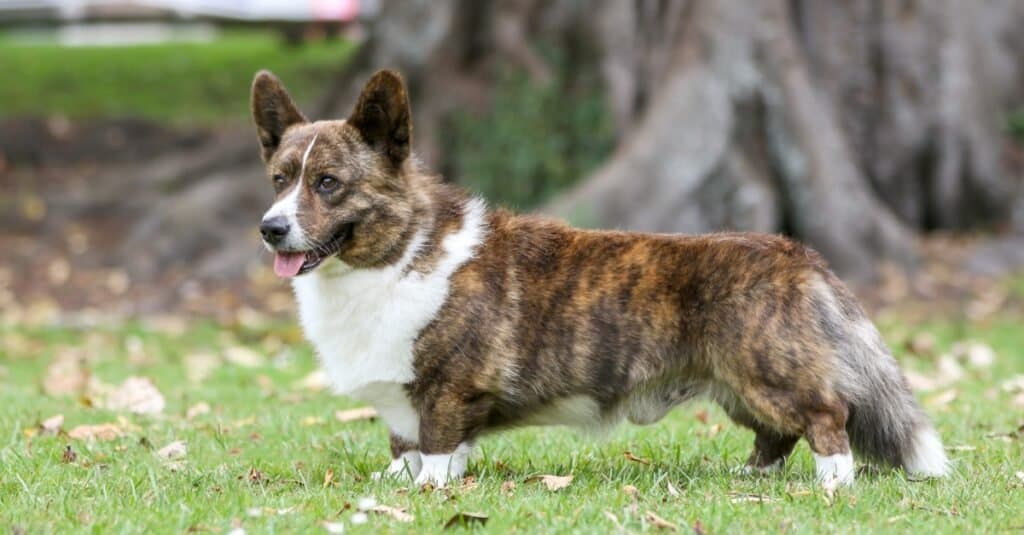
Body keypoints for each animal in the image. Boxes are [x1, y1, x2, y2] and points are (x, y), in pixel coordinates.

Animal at [251, 67, 946, 487]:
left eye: (329, 184)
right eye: (280, 179)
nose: (270, 228)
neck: (394, 256)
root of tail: (799, 254)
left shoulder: (449, 391)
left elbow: (439, 448)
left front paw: (428, 492)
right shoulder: (402, 403)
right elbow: (404, 446)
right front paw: (395, 488)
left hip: (771, 374)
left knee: (828, 418)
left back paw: (833, 485)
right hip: (738, 386)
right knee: (776, 437)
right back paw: (751, 480)